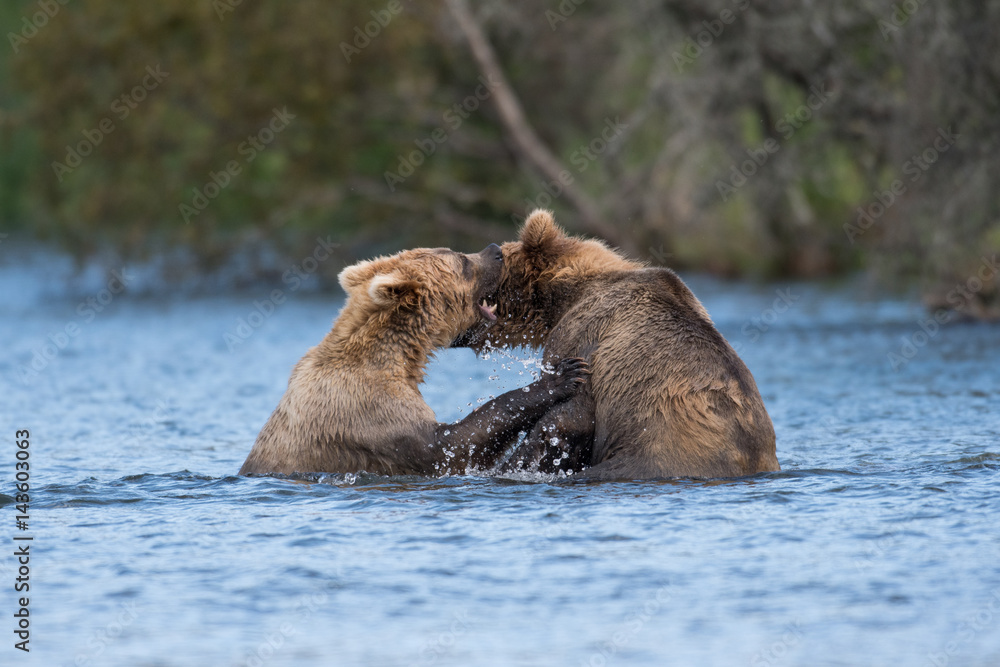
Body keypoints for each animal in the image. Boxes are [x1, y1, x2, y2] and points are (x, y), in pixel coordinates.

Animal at [238, 243, 590, 477]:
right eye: (462, 261)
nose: (495, 250)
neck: (399, 357)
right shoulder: (370, 413)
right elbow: (452, 445)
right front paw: (562, 375)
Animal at [453, 210, 779, 480]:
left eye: (499, 258)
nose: (491, 249)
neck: (565, 295)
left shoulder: (581, 336)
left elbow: (566, 416)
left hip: (657, 452)